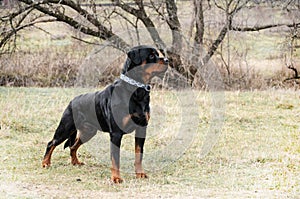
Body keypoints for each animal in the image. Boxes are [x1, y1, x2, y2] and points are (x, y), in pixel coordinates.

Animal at [41, 45, 169, 183]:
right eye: (151, 55)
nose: (167, 60)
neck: (135, 91)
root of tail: (72, 101)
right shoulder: (116, 134)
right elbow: (115, 158)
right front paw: (116, 178)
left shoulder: (141, 128)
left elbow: (138, 154)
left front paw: (140, 174)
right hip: (66, 128)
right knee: (51, 143)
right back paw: (46, 163)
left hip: (88, 131)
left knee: (73, 146)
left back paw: (76, 162)